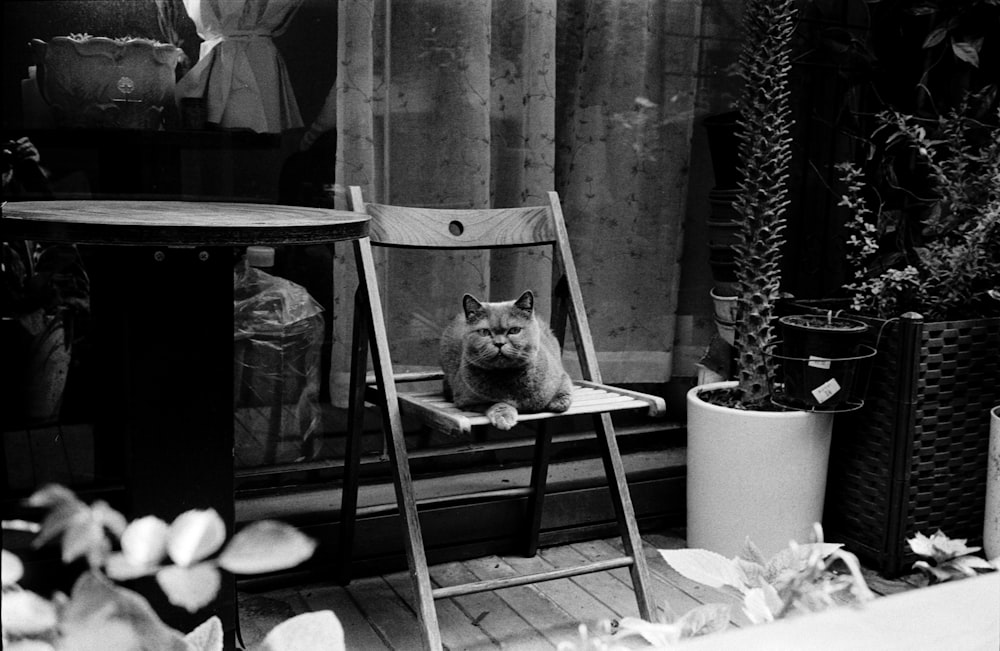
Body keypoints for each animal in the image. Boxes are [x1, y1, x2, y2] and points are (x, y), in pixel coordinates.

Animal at [442, 292, 576, 432]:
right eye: (484, 332)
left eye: (514, 330)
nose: (499, 343)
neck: (508, 376)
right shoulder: (466, 400)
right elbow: (497, 402)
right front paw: (504, 417)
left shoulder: (561, 374)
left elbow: (565, 387)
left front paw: (559, 402)